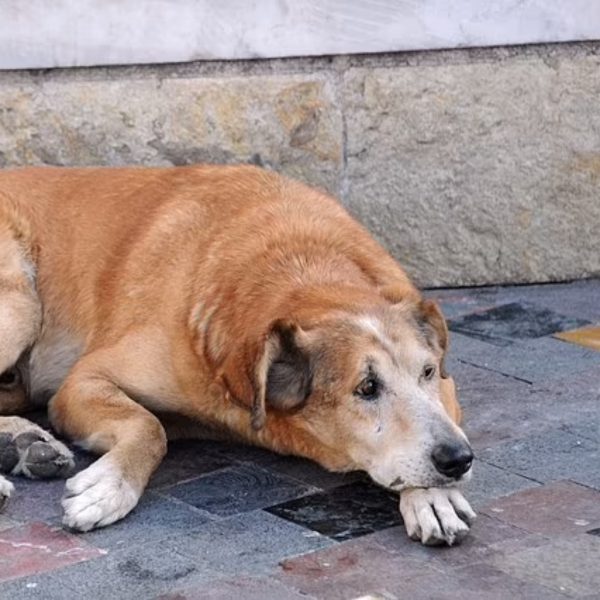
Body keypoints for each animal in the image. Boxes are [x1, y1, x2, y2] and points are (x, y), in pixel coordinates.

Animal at [1, 164, 478, 544]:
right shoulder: (82, 381)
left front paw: (432, 497)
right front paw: (111, 486)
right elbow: (149, 426)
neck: (301, 267)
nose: (458, 460)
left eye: (428, 372)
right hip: (20, 304)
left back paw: (23, 443)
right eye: (366, 387)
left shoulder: (448, 390)